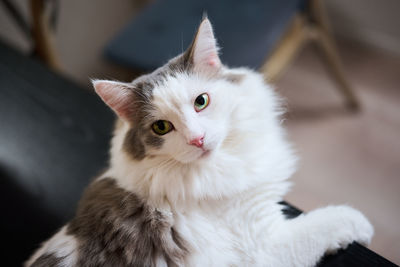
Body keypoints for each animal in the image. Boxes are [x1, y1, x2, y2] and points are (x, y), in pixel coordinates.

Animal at [27, 17, 372, 266]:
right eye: (161, 127)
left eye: (201, 102)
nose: (197, 139)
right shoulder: (266, 244)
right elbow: (326, 221)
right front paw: (361, 223)